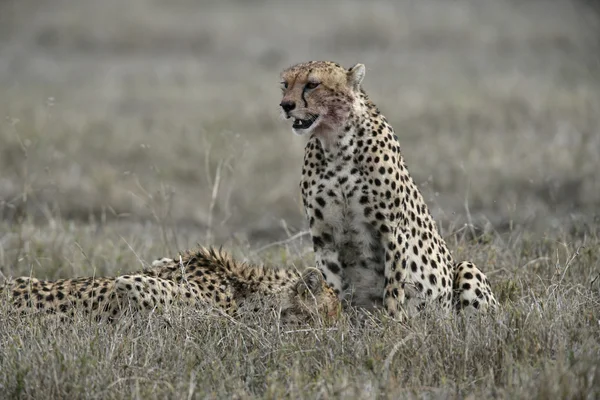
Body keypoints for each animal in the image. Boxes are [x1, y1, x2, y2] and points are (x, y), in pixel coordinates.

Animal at [280, 61, 496, 320]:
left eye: (312, 84)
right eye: (285, 84)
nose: (285, 105)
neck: (336, 144)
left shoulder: (392, 231)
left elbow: (393, 287)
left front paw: (393, 323)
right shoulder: (324, 236)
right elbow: (328, 282)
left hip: (465, 270)